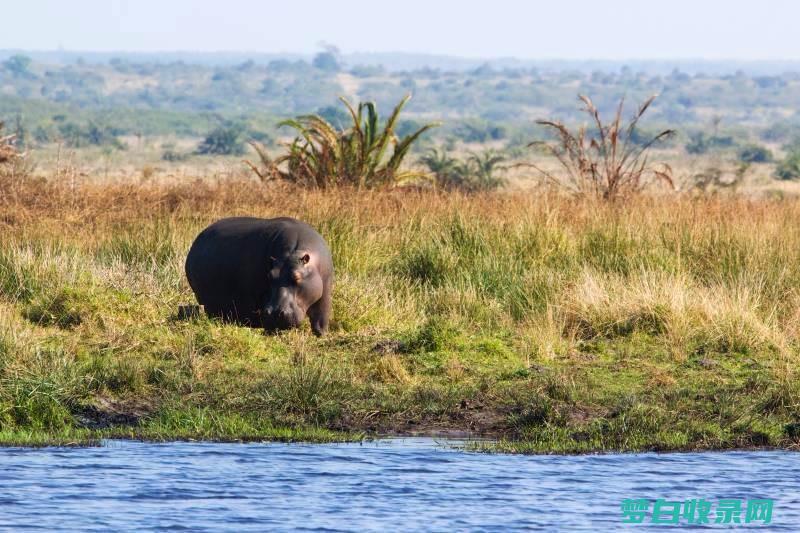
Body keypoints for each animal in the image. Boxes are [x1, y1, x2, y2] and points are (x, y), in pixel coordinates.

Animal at [186, 215, 332, 332]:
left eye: (297, 277)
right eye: (269, 277)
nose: (275, 313)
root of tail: (198, 239)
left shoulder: (325, 288)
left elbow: (322, 314)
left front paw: (320, 334)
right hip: (207, 301)